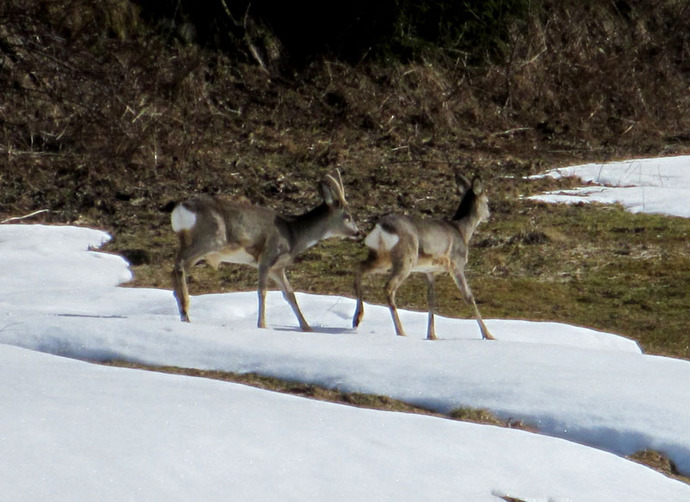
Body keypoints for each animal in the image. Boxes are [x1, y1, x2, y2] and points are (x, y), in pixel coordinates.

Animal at [170, 171, 358, 332]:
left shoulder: (277, 267)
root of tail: (181, 208)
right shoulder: (266, 257)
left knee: (177, 268)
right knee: (179, 264)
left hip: (192, 243)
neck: (293, 234)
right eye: (347, 216)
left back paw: (183, 312)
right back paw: (185, 308)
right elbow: (262, 292)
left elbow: (290, 295)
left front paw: (307, 327)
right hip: (211, 239)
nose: (358, 232)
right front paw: (262, 325)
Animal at [352, 174, 492, 342]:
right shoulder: (456, 264)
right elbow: (469, 297)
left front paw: (432, 335)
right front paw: (489, 335)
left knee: (358, 267)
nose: (489, 215)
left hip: (381, 257)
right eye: (487, 201)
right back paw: (401, 331)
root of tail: (381, 227)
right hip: (406, 258)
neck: (462, 231)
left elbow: (431, 300)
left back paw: (357, 318)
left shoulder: (429, 271)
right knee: (389, 287)